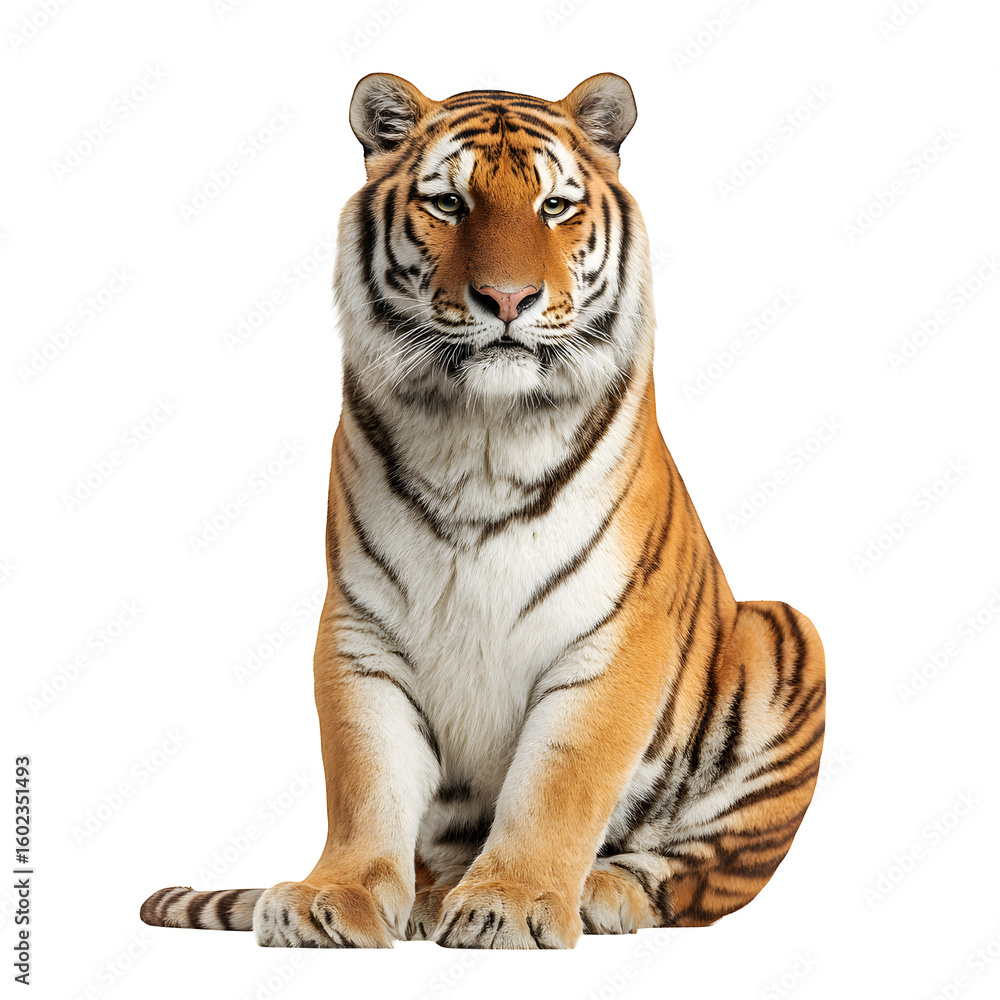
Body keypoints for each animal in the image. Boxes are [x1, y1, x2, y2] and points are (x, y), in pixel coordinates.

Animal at [140, 72, 826, 950]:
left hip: (786, 632)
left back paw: (604, 888)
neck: (484, 433)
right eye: (449, 203)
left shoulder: (614, 633)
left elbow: (559, 781)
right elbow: (364, 780)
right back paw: (431, 898)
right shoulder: (361, 629)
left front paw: (514, 903)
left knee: (701, 875)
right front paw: (335, 899)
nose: (507, 298)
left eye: (554, 206)